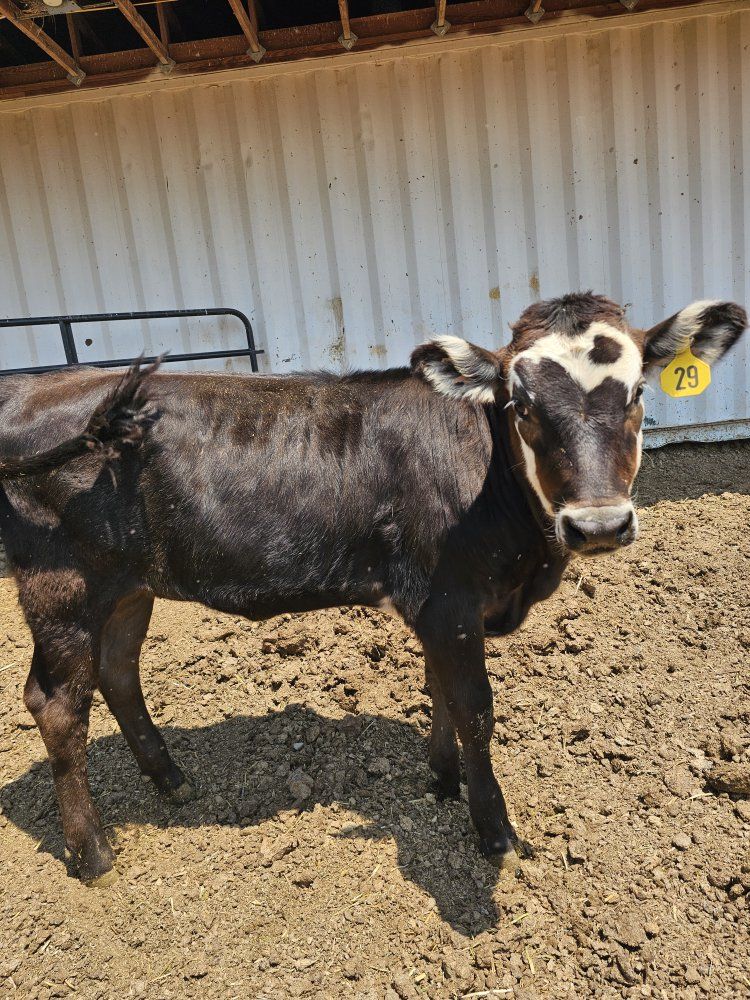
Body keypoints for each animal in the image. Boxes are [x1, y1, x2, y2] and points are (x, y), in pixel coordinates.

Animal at [0, 292, 745, 885]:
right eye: (521, 404)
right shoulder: (449, 600)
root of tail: (34, 389)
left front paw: (441, 778)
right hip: (62, 586)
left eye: (638, 393)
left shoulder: (438, 608)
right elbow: (474, 708)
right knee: (57, 703)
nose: (597, 525)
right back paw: (93, 853)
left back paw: (171, 780)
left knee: (118, 672)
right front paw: (494, 829)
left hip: (129, 584)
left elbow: (440, 692)